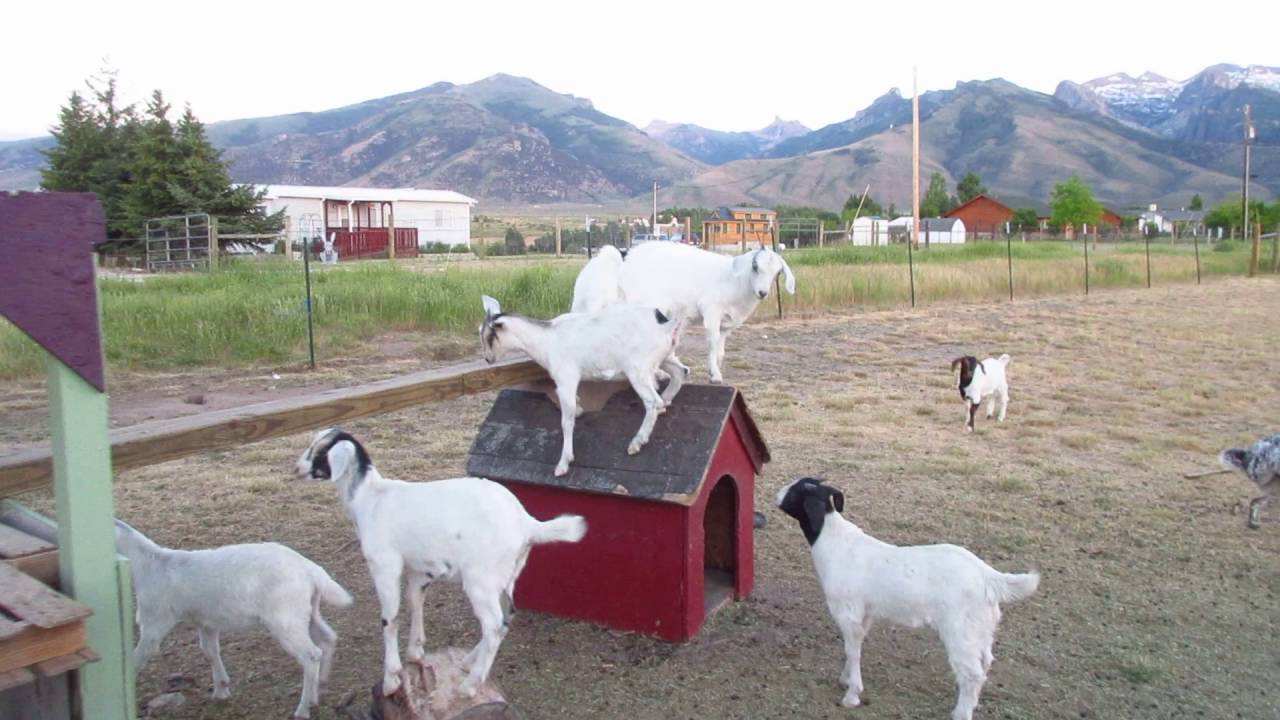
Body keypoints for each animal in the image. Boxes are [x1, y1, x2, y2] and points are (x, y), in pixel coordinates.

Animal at [113, 520, 351, 720]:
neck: (148, 565)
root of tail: (311, 570)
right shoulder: (206, 621)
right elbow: (209, 651)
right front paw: (221, 689)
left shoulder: (154, 620)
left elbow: (138, 657)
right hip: (306, 610)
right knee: (327, 638)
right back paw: (319, 690)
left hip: (285, 618)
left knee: (311, 655)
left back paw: (303, 709)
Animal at [295, 428, 586, 697]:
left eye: (320, 451)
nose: (297, 469)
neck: (370, 498)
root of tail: (526, 523)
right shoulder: (418, 570)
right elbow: (415, 600)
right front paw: (415, 651)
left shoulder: (384, 566)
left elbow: (390, 618)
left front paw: (391, 678)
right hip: (506, 576)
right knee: (505, 618)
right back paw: (469, 662)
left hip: (481, 579)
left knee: (493, 625)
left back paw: (470, 685)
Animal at [479, 294, 685, 476]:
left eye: (488, 336)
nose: (488, 359)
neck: (545, 340)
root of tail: (664, 325)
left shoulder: (566, 380)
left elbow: (567, 421)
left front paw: (563, 463)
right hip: (665, 357)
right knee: (681, 372)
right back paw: (665, 403)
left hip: (637, 369)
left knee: (652, 401)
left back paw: (637, 442)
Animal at [614, 243, 796, 384]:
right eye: (755, 266)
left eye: (778, 272)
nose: (762, 292)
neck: (734, 281)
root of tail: (628, 259)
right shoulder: (712, 311)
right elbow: (712, 342)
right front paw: (715, 375)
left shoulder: (727, 323)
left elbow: (721, 350)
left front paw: (716, 369)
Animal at [775, 477, 1039, 720]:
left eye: (795, 492)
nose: (776, 496)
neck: (834, 543)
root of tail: (988, 577)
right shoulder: (864, 614)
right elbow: (854, 649)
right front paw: (846, 679)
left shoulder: (848, 612)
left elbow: (852, 650)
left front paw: (852, 695)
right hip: (980, 627)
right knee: (985, 662)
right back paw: (972, 703)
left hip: (960, 631)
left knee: (972, 672)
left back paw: (961, 713)